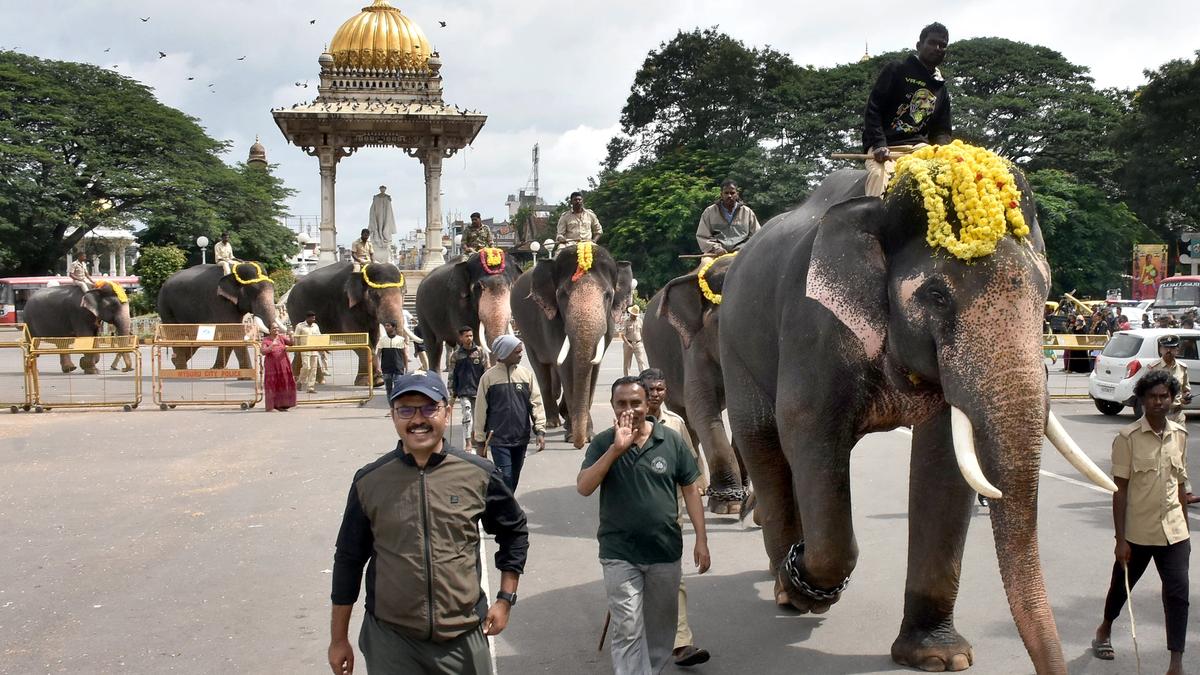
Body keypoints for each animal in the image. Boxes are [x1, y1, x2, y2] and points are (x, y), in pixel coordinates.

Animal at [511, 243, 633, 448]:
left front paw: (586, 435)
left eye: (608, 295)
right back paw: (553, 422)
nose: (578, 444)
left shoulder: (608, 323)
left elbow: (593, 367)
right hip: (526, 334)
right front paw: (575, 434)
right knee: (542, 370)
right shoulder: (550, 319)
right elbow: (567, 366)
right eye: (562, 295)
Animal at [718, 164, 1114, 674]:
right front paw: (804, 582)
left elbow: (946, 461)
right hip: (734, 343)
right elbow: (806, 424)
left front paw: (939, 657)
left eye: (1044, 294)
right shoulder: (814, 325)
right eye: (936, 295)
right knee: (763, 438)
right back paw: (785, 584)